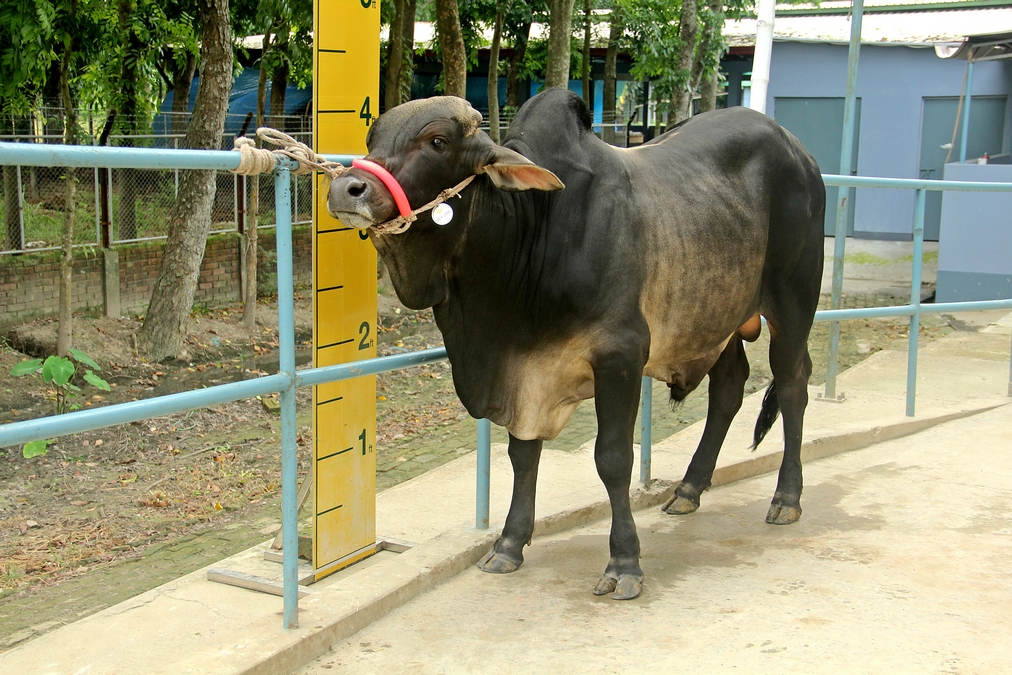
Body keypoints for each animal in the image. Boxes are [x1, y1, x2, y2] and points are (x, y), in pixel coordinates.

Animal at [328, 88, 825, 601]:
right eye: (372, 137)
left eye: (437, 141)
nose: (347, 188)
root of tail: (796, 148)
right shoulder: (527, 376)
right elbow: (522, 456)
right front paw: (509, 543)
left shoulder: (620, 356)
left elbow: (613, 459)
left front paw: (624, 562)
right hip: (714, 318)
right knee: (730, 387)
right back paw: (689, 489)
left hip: (793, 299)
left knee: (792, 384)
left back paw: (787, 497)